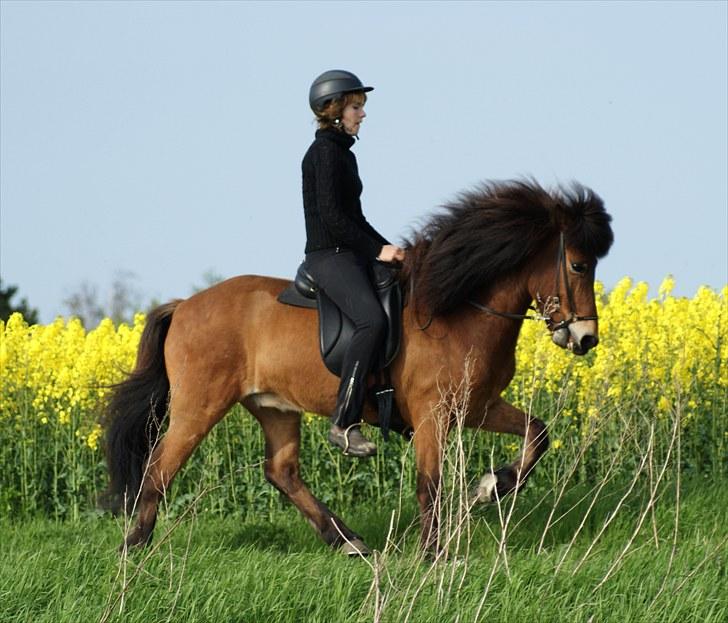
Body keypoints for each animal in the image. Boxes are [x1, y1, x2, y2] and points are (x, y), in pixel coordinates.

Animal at [104, 178, 616, 552]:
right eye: (578, 265)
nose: (585, 338)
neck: (458, 309)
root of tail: (184, 306)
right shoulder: (432, 415)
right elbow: (429, 483)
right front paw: (434, 555)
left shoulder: (477, 406)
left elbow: (538, 434)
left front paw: (491, 486)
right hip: (199, 405)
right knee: (159, 468)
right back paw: (134, 549)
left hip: (274, 407)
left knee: (282, 471)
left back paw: (347, 541)